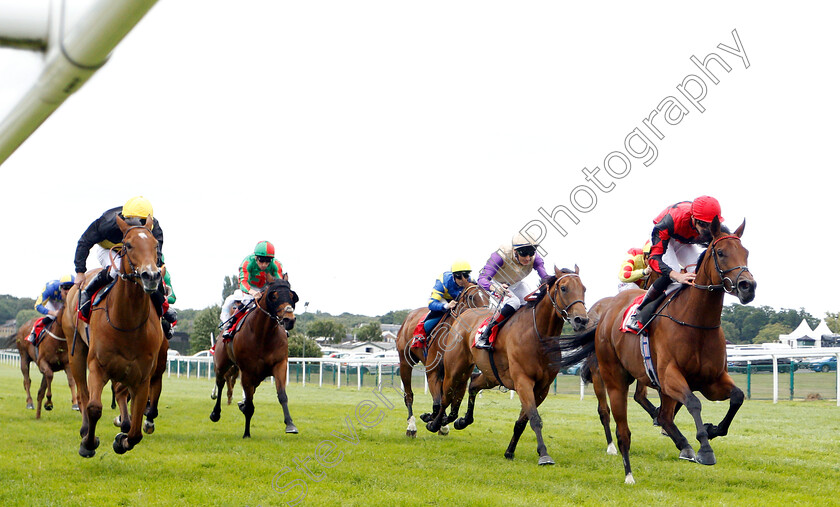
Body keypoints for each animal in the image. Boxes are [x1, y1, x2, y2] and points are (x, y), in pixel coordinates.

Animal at [69, 218, 166, 460]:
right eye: (128, 245)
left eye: (155, 245)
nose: (151, 276)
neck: (128, 323)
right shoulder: (97, 366)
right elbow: (94, 407)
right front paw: (88, 443)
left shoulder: (142, 377)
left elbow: (136, 431)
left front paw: (122, 440)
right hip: (76, 352)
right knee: (83, 393)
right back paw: (85, 430)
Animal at [209, 276, 298, 438]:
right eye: (274, 296)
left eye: (291, 295)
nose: (289, 319)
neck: (263, 335)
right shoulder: (247, 371)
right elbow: (250, 403)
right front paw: (246, 433)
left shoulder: (280, 364)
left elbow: (282, 395)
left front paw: (290, 425)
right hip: (222, 364)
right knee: (220, 383)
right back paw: (215, 413)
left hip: (258, 375)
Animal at [396, 284, 492, 438]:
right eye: (471, 297)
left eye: (488, 297)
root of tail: (409, 317)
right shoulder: (433, 372)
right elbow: (437, 403)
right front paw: (431, 419)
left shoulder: (460, 376)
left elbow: (452, 408)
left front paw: (441, 422)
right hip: (405, 362)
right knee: (409, 395)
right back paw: (411, 426)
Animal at [434, 268, 592, 466]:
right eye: (564, 288)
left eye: (584, 288)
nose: (581, 320)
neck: (538, 335)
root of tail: (464, 314)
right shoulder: (523, 382)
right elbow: (535, 418)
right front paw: (544, 454)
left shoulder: (542, 388)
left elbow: (522, 421)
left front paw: (510, 451)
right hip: (455, 369)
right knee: (446, 396)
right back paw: (434, 423)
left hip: (491, 375)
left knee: (473, 384)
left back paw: (461, 421)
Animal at [556, 220, 756, 486]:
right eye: (721, 253)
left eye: (746, 252)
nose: (748, 287)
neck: (696, 321)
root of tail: (605, 314)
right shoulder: (669, 376)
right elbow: (693, 403)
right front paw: (705, 448)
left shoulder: (712, 380)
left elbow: (737, 397)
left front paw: (711, 430)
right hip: (613, 376)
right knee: (620, 417)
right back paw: (631, 466)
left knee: (665, 415)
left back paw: (682, 444)